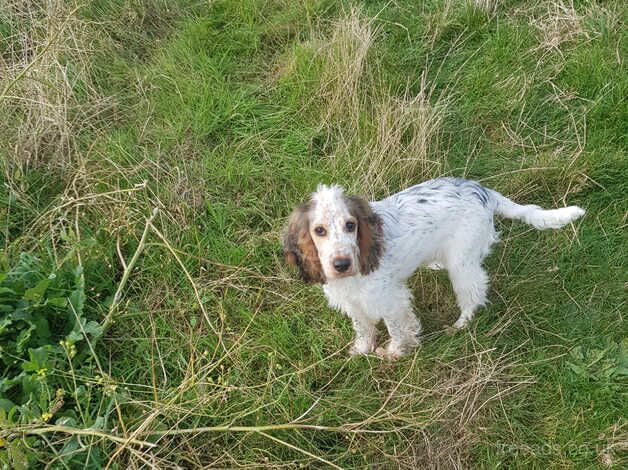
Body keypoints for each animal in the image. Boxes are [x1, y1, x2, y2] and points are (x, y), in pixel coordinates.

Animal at [282, 178, 588, 358]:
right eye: (319, 230)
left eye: (350, 225)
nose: (342, 264)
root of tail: (484, 192)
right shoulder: (354, 303)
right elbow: (363, 328)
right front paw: (361, 350)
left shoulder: (391, 300)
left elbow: (397, 328)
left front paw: (394, 353)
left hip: (463, 265)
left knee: (474, 296)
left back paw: (459, 325)